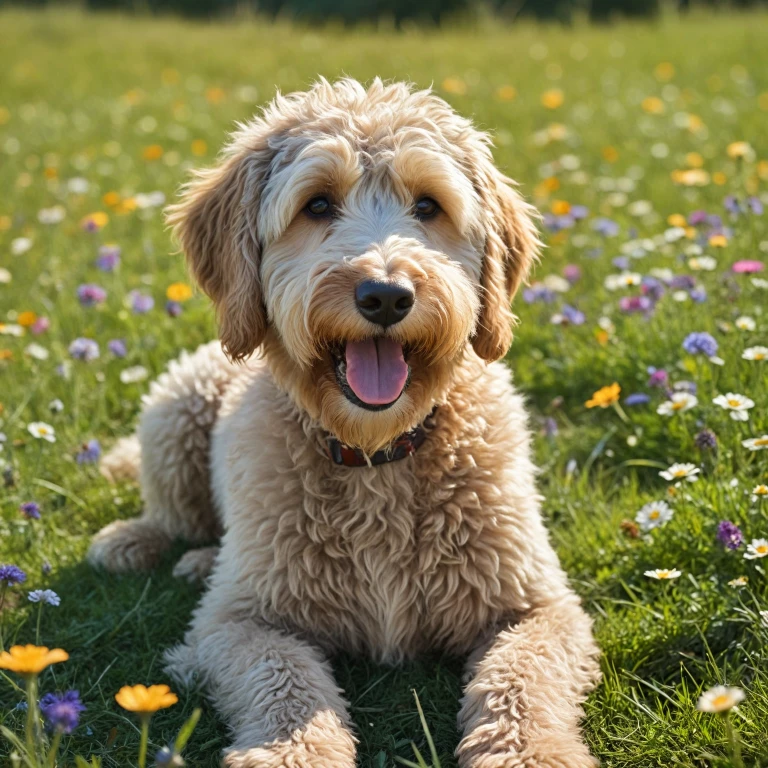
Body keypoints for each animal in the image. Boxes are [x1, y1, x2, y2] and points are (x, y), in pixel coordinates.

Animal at [88, 79, 600, 768]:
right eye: (318, 204)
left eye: (428, 205)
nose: (384, 296)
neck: (375, 453)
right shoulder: (239, 621)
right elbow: (285, 678)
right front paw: (293, 752)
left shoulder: (538, 606)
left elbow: (523, 675)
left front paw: (531, 752)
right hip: (177, 409)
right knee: (173, 517)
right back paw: (140, 543)